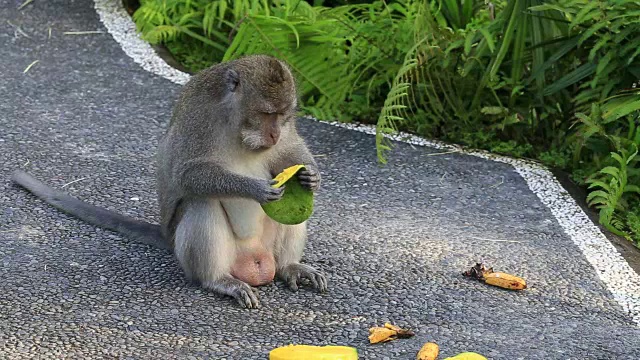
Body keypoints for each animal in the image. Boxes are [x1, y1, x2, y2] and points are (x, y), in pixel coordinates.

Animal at [9, 54, 328, 308]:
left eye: (283, 115)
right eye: (266, 113)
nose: (274, 133)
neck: (237, 124)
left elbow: (288, 150)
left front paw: (311, 175)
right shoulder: (200, 119)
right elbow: (187, 175)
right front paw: (255, 189)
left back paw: (290, 266)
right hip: (193, 253)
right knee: (202, 203)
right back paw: (218, 280)